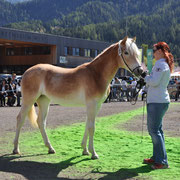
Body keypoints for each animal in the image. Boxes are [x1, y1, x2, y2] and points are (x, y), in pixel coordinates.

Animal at [13, 36, 143, 159]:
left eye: (137, 53)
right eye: (126, 52)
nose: (141, 71)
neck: (96, 74)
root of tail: (26, 72)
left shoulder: (96, 106)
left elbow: (87, 125)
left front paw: (85, 150)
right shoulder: (91, 104)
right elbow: (91, 127)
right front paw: (93, 153)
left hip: (44, 100)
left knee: (41, 122)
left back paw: (50, 148)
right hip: (29, 100)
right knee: (20, 119)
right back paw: (16, 149)